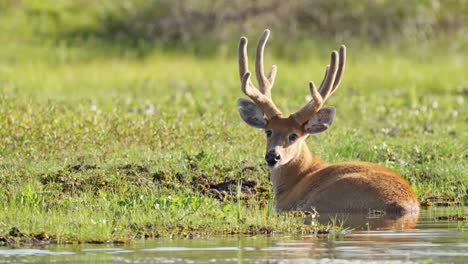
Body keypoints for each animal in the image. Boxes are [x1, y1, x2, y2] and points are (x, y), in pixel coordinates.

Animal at [236, 29, 418, 214]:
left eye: (293, 136)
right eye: (268, 131)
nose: (273, 156)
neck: (300, 175)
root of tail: (404, 204)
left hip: (330, 197)